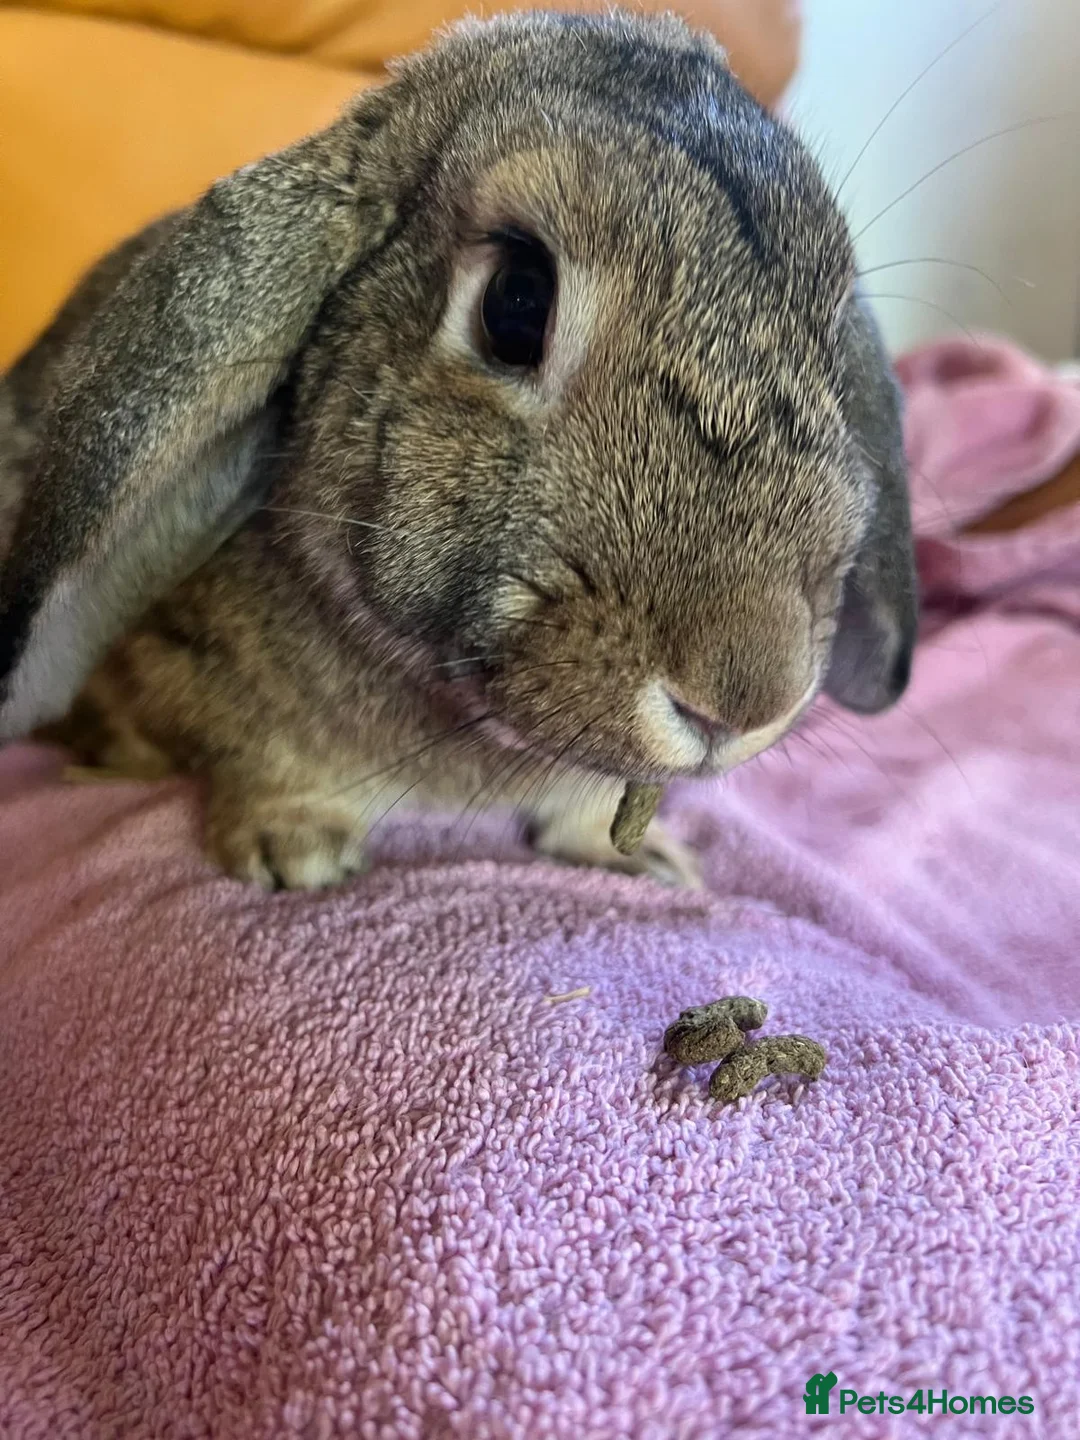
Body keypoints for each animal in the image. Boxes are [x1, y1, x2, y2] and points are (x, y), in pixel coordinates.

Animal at [0, 9, 916, 890]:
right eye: (517, 302)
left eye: (828, 341)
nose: (745, 698)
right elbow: (253, 759)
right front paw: (294, 850)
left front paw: (648, 861)